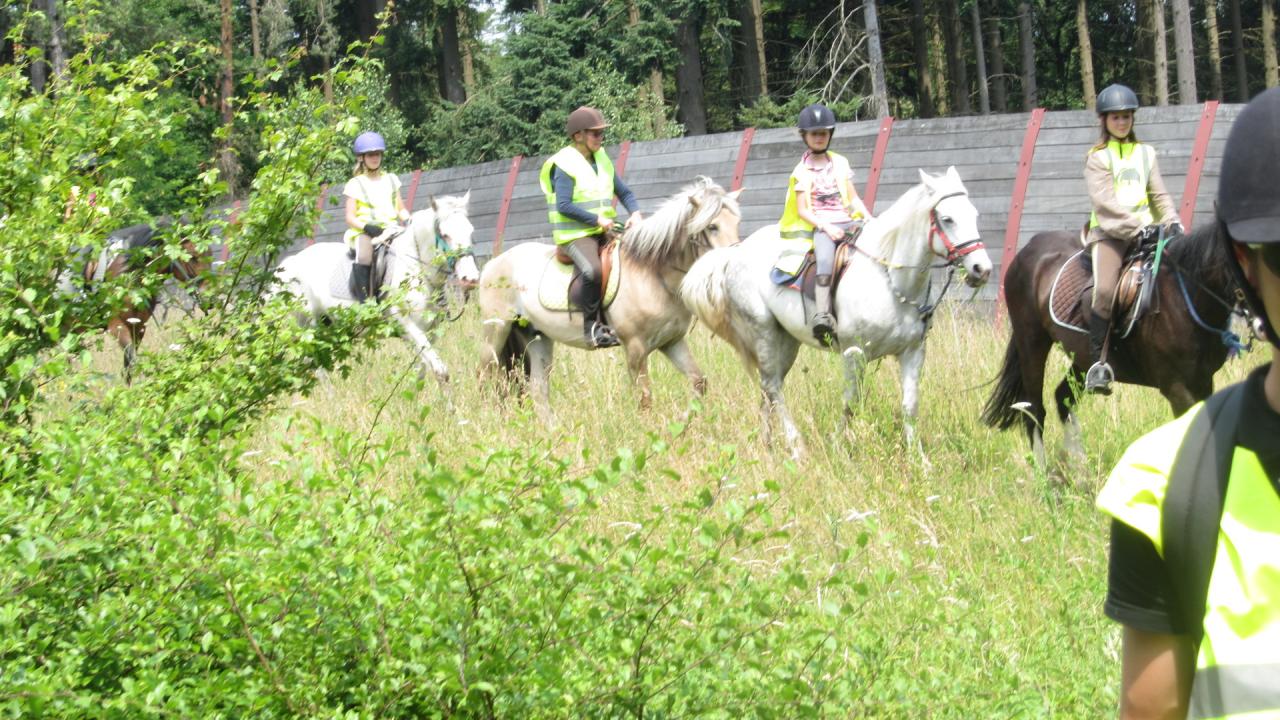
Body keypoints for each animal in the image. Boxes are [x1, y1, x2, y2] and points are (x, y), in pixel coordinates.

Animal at [275, 190, 481, 381]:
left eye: (471, 231)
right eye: (445, 235)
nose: (470, 278)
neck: (417, 270)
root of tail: (288, 265)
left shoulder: (429, 331)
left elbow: (421, 371)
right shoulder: (407, 325)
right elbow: (440, 371)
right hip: (306, 327)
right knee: (314, 366)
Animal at [478, 175, 742, 415]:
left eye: (736, 222)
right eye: (712, 226)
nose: (731, 263)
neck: (651, 273)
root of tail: (493, 264)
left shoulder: (671, 342)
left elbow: (699, 382)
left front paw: (683, 423)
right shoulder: (635, 349)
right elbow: (645, 400)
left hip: (537, 338)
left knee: (538, 389)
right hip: (496, 333)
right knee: (484, 378)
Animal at [680, 165, 988, 456]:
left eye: (974, 214)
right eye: (947, 219)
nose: (981, 269)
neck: (890, 279)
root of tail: (735, 253)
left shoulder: (913, 351)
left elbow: (910, 406)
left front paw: (919, 461)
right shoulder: (855, 353)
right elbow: (851, 403)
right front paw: (839, 446)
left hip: (786, 341)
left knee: (769, 387)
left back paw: (768, 446)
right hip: (763, 331)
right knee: (773, 387)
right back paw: (796, 447)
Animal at [977, 221, 1239, 461]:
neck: (1184, 297)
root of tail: (1030, 247)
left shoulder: (1203, 381)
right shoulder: (1177, 388)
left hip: (1081, 359)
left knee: (1063, 398)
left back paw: (1079, 469)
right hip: (1031, 342)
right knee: (1035, 412)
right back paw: (1043, 475)